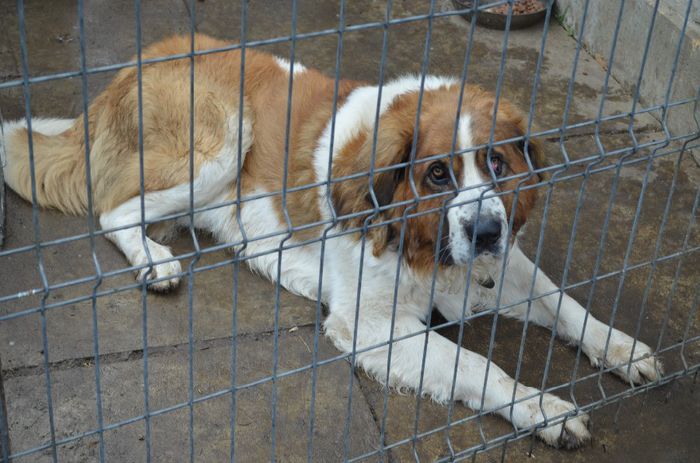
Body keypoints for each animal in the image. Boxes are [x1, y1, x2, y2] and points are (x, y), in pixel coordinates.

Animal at [1, 34, 660, 448]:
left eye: (497, 163)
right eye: (437, 174)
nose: (487, 230)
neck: (419, 240)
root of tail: (133, 65)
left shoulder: (503, 269)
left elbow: (564, 303)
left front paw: (621, 348)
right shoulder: (371, 325)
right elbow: (476, 364)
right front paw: (544, 409)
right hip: (222, 141)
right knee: (114, 211)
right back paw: (155, 262)